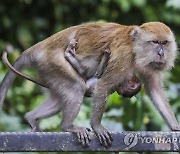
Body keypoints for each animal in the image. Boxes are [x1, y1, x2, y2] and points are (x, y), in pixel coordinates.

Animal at [0, 22, 178, 147]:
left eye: (165, 43)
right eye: (155, 42)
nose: (161, 53)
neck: (135, 46)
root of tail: (40, 46)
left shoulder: (149, 65)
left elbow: (154, 91)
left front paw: (175, 127)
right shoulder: (124, 56)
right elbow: (103, 85)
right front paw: (97, 127)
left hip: (48, 69)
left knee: (59, 99)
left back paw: (31, 118)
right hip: (52, 61)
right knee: (75, 88)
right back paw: (67, 126)